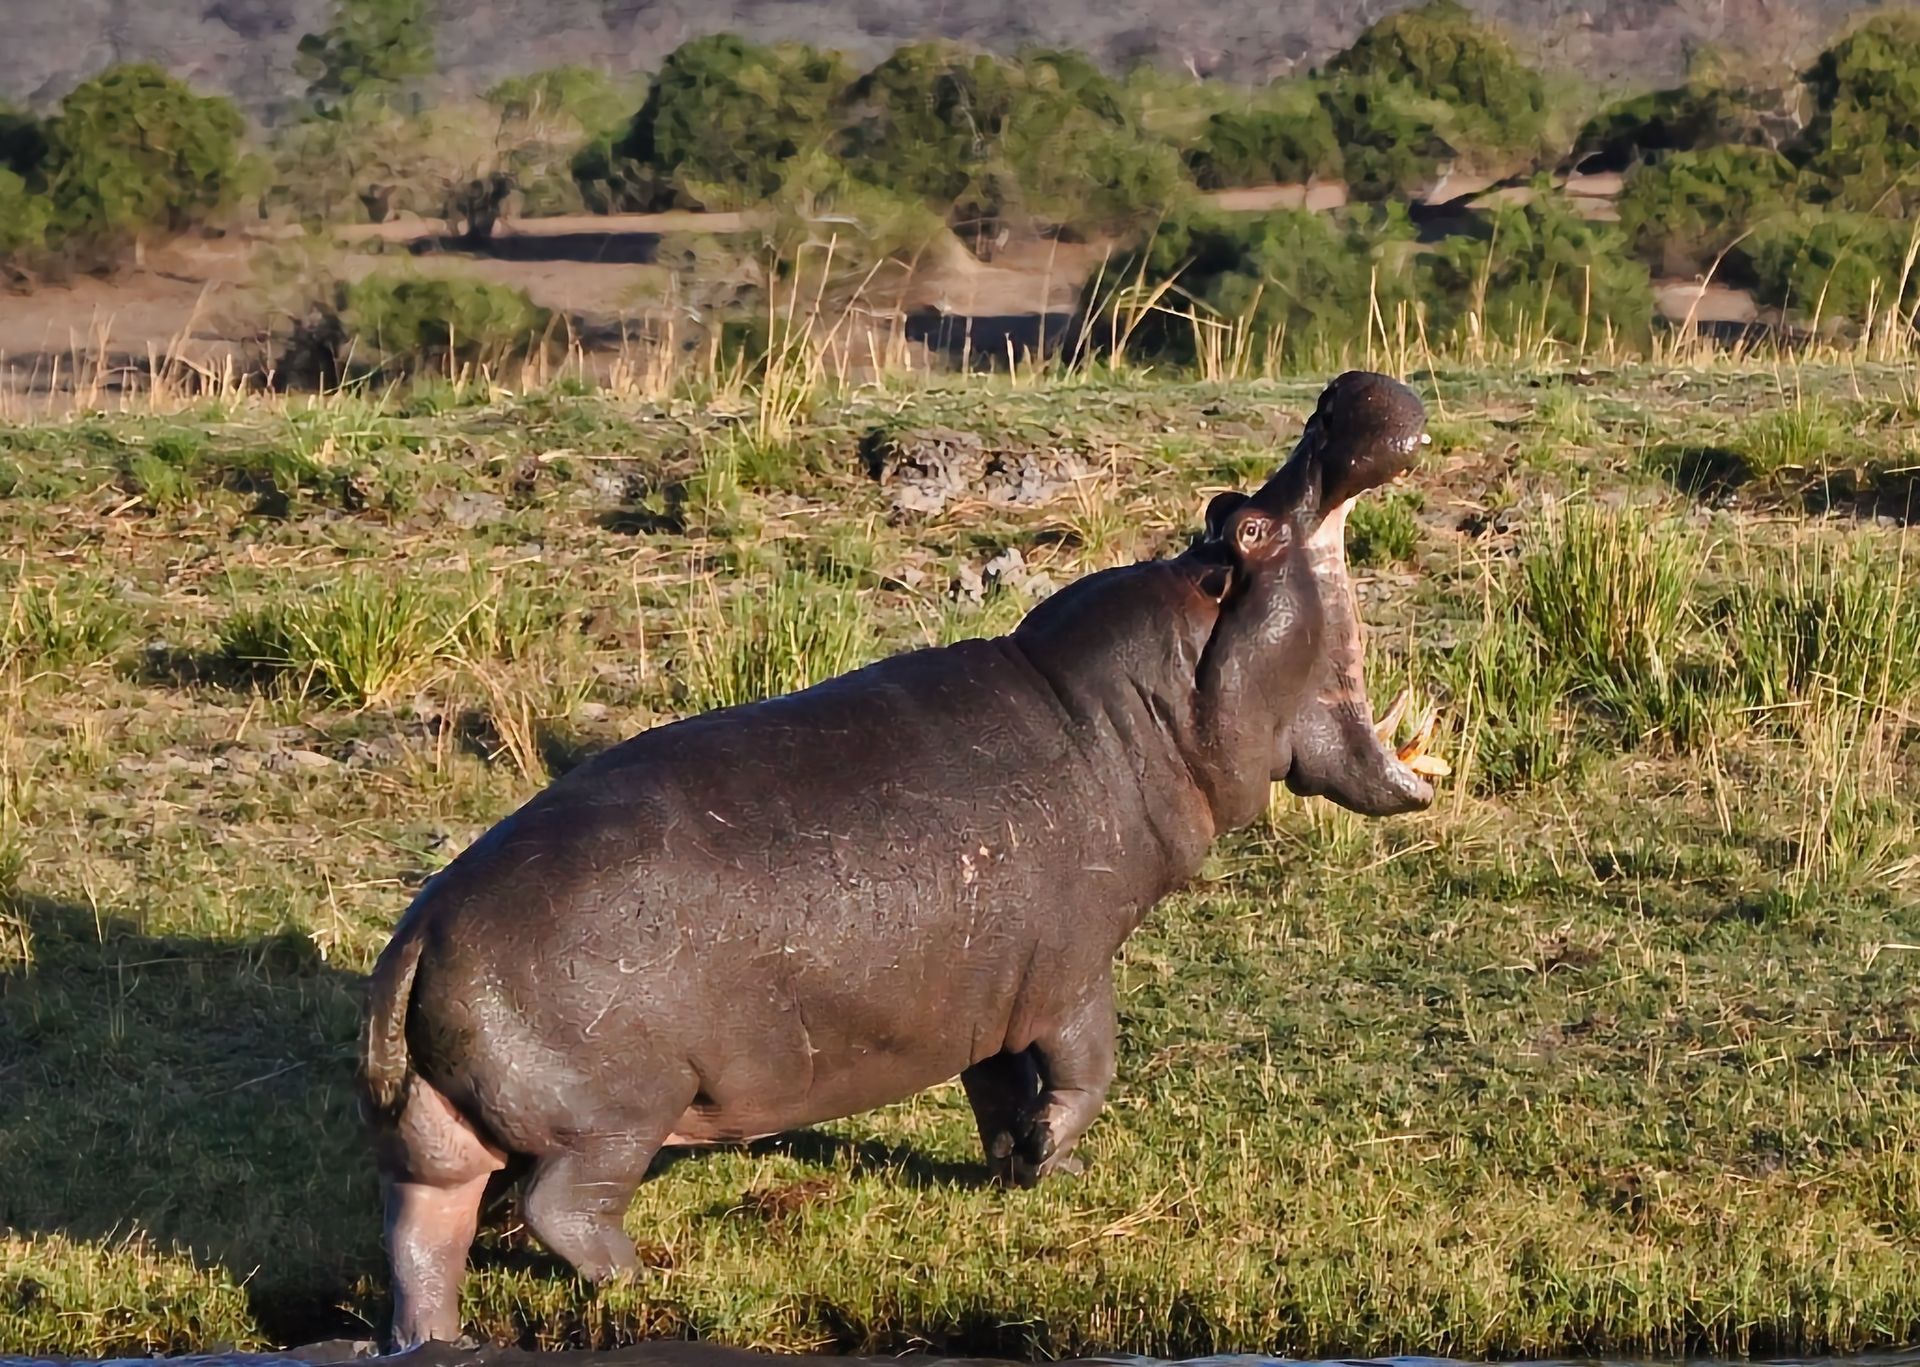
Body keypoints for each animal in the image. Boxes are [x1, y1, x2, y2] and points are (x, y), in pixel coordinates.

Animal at [359, 370, 1447, 1348]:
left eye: (1224, 511)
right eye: (1252, 529)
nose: (1338, 399)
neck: (1140, 706)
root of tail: (423, 932)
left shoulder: (990, 991)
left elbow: (999, 1088)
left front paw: (1032, 1167)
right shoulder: (1069, 969)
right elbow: (1088, 1063)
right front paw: (1055, 1151)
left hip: (442, 1138)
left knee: (422, 1230)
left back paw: (439, 1337)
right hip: (617, 1114)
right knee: (559, 1206)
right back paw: (648, 1279)